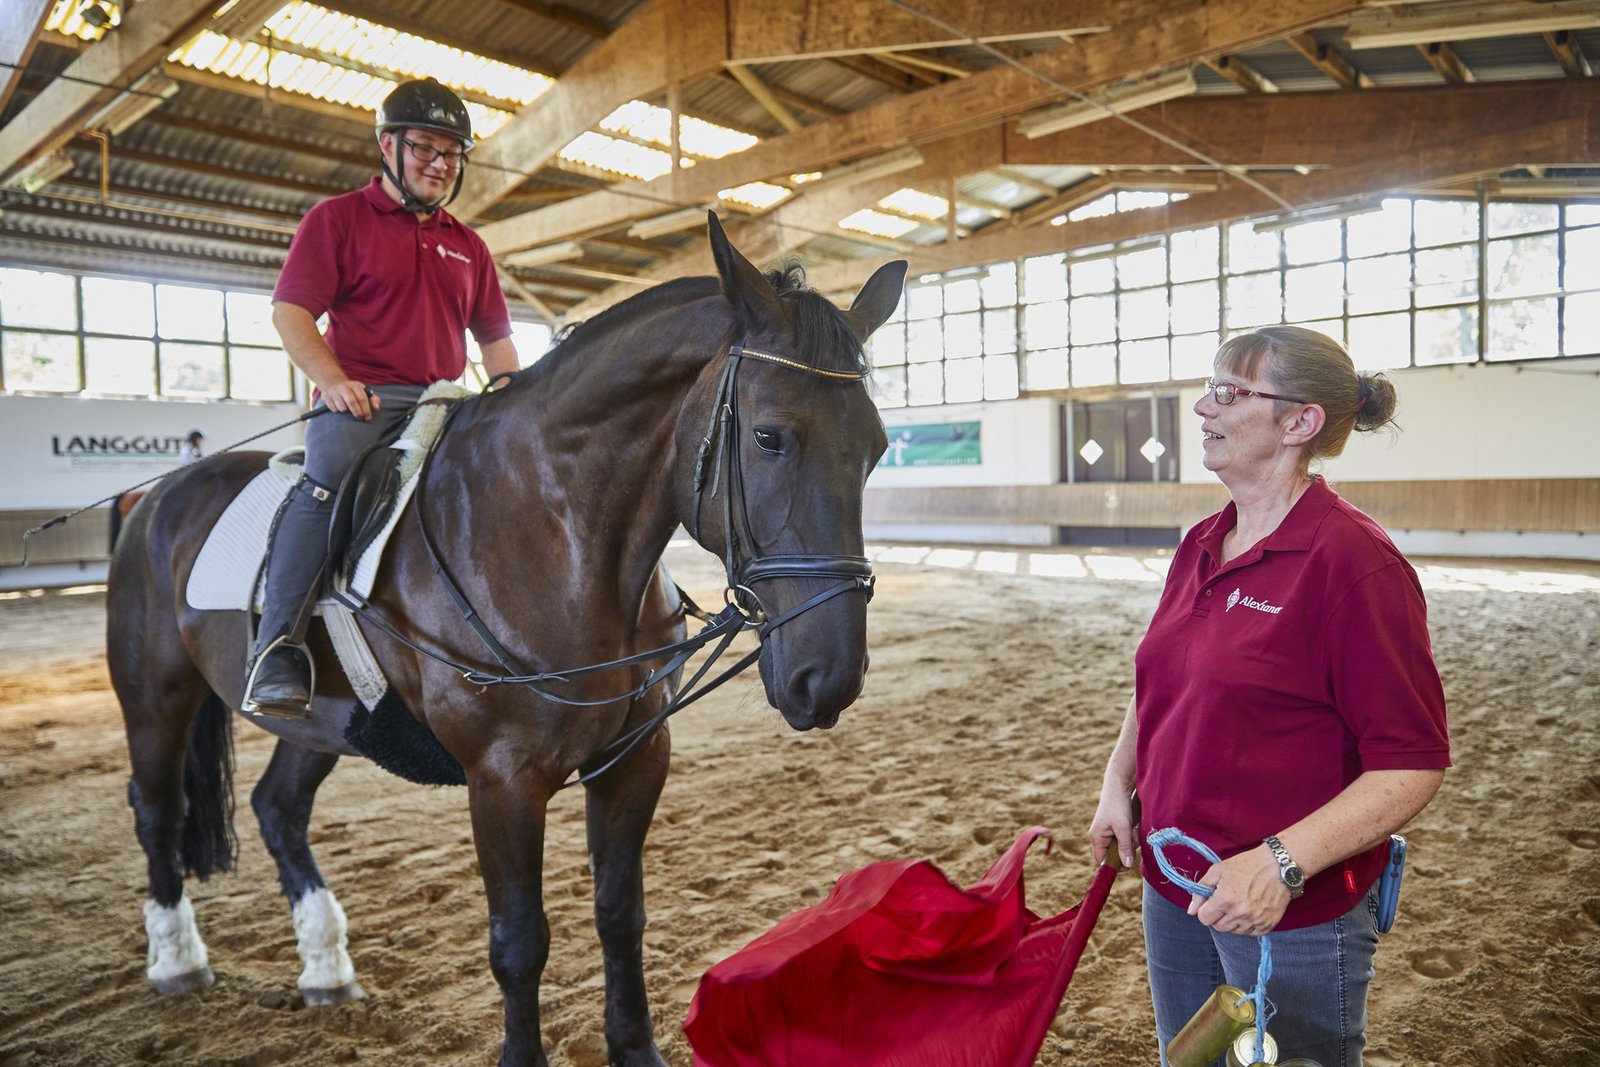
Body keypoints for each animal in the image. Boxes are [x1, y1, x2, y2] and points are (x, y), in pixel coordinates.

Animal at [106, 219, 908, 1067]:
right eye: (768, 436)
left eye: (877, 446)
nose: (828, 677)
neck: (555, 538)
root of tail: (156, 494)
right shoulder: (502, 777)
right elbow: (519, 940)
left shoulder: (634, 760)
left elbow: (621, 913)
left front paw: (636, 1046)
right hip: (155, 696)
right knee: (157, 809)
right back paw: (177, 959)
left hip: (328, 719)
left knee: (278, 808)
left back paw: (325, 967)